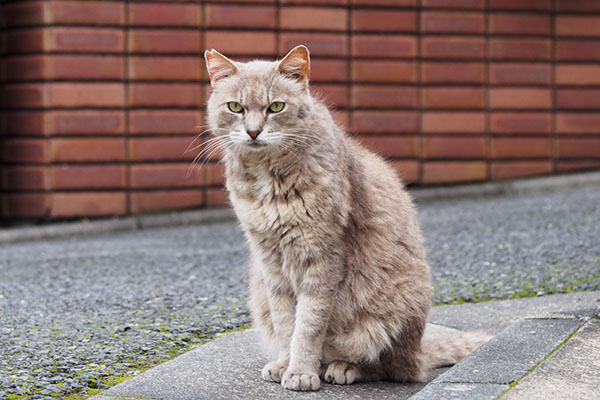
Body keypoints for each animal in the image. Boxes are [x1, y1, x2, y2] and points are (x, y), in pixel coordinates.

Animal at [204, 44, 490, 390]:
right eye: (235, 107)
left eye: (276, 107)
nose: (254, 131)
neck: (268, 182)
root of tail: (419, 353)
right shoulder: (270, 262)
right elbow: (286, 323)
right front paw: (286, 364)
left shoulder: (323, 256)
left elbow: (308, 325)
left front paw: (301, 371)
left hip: (394, 310)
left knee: (387, 367)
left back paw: (343, 367)